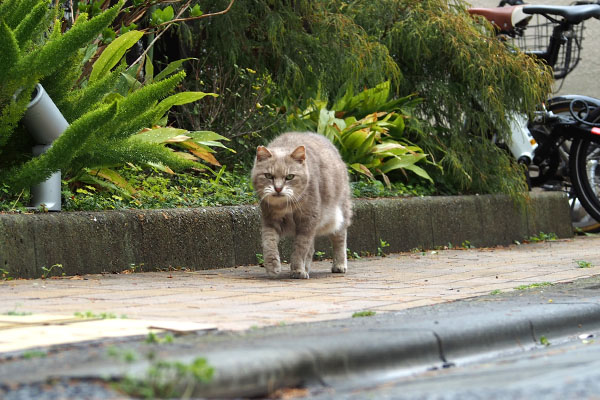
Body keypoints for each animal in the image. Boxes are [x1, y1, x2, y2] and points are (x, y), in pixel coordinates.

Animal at [252, 131, 354, 278]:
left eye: (290, 176)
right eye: (268, 176)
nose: (278, 188)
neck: (286, 206)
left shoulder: (308, 221)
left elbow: (300, 248)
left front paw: (297, 270)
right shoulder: (269, 220)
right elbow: (269, 243)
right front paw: (272, 267)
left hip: (340, 214)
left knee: (339, 239)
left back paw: (339, 265)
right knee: (311, 249)